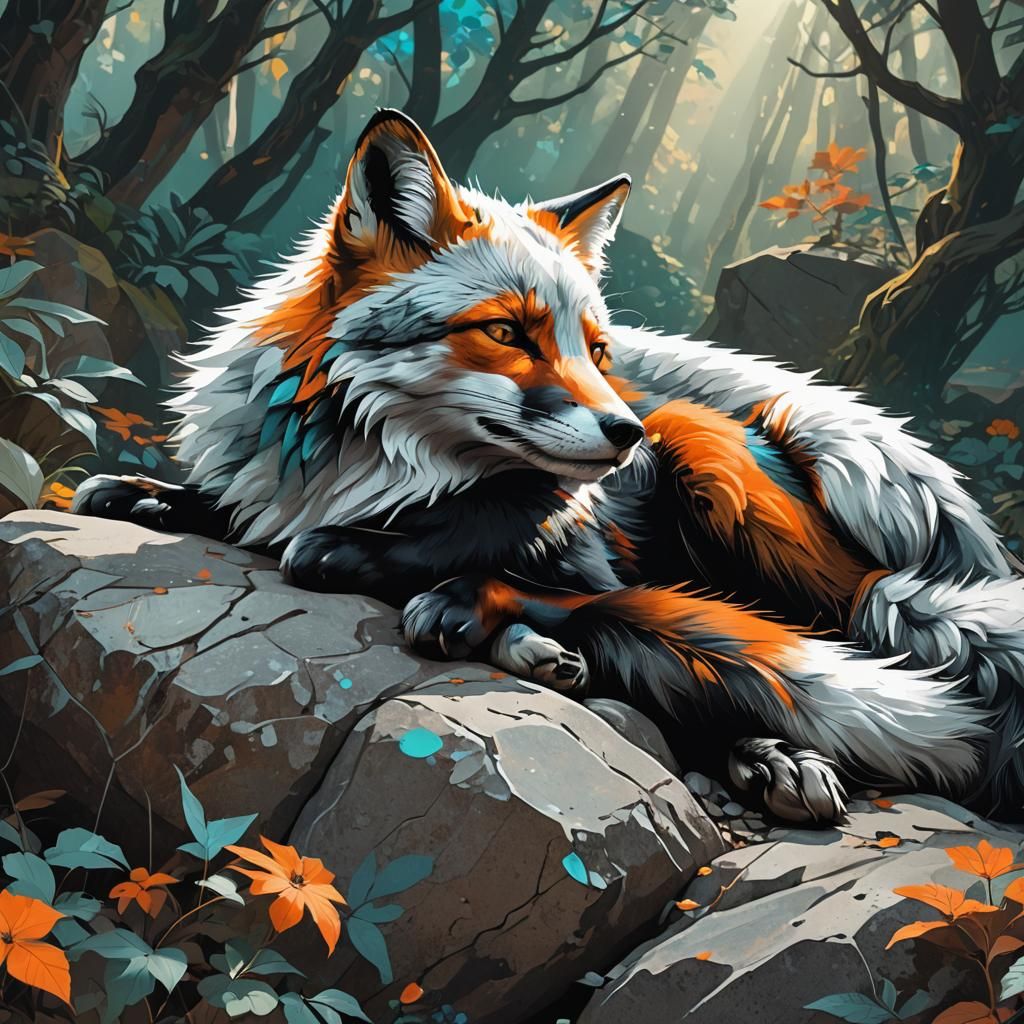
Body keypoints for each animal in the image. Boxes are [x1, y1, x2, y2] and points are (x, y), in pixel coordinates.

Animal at [73, 109, 1024, 824]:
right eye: (507, 332)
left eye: (593, 349)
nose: (625, 433)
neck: (379, 467)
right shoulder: (275, 489)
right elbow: (233, 509)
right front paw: (146, 494)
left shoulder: (588, 557)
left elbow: (575, 592)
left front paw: (431, 578)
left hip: (708, 451)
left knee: (824, 628)